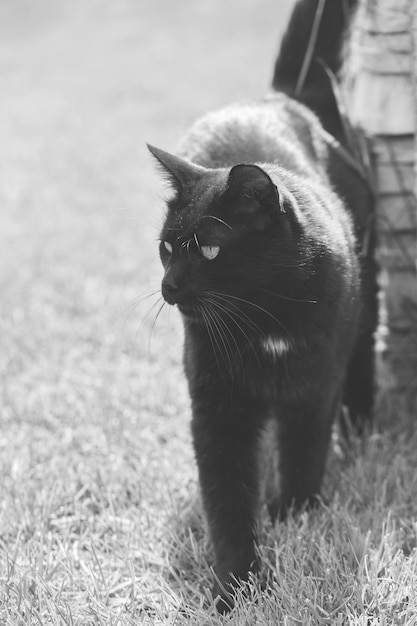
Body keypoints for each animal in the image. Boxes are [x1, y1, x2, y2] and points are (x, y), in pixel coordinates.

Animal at [148, 0, 376, 608]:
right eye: (165, 247)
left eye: (208, 247)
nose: (170, 286)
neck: (265, 319)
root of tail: (282, 96)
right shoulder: (216, 404)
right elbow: (226, 494)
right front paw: (236, 587)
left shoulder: (313, 388)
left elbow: (305, 452)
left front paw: (294, 517)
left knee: (365, 355)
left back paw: (361, 425)